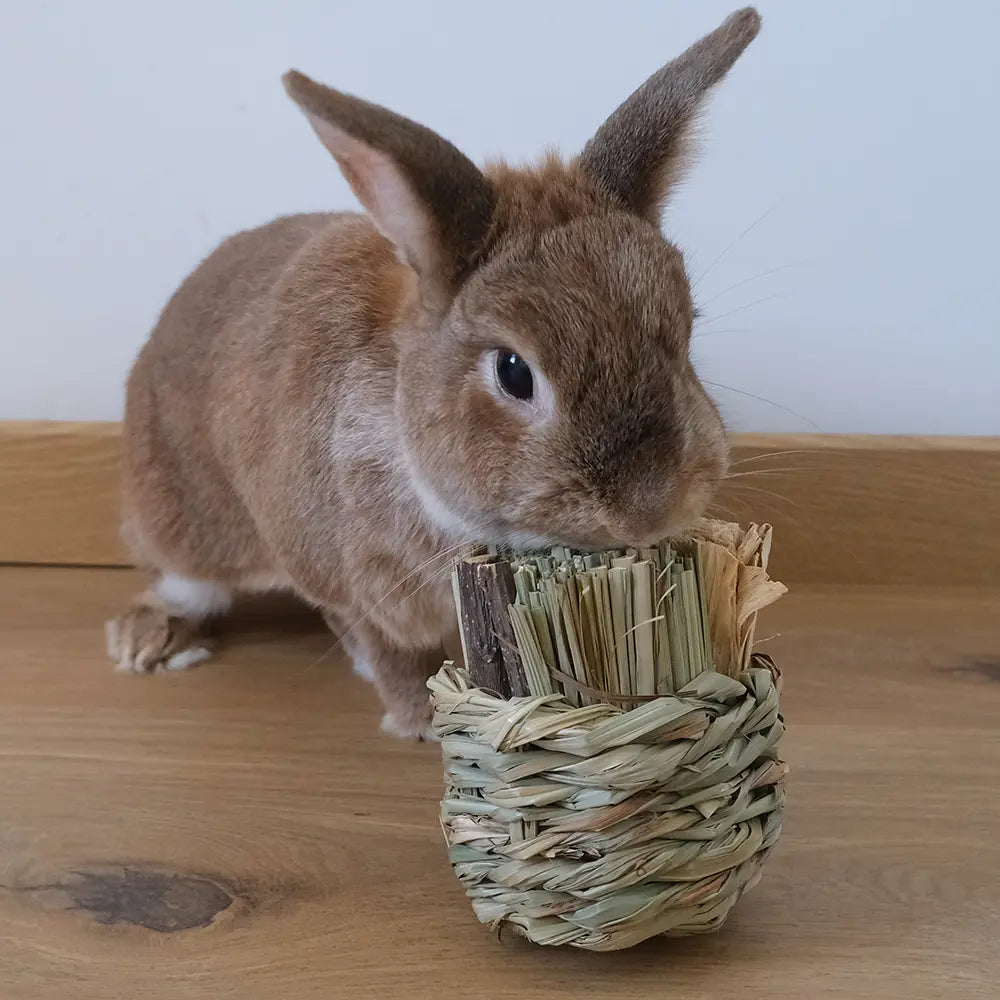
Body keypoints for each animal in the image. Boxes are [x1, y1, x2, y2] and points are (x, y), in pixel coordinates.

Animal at [105, 9, 761, 739]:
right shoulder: (351, 580)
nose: (650, 510)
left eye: (686, 329)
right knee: (184, 584)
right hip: (183, 520)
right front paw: (419, 723)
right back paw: (149, 641)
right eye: (513, 372)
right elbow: (388, 650)